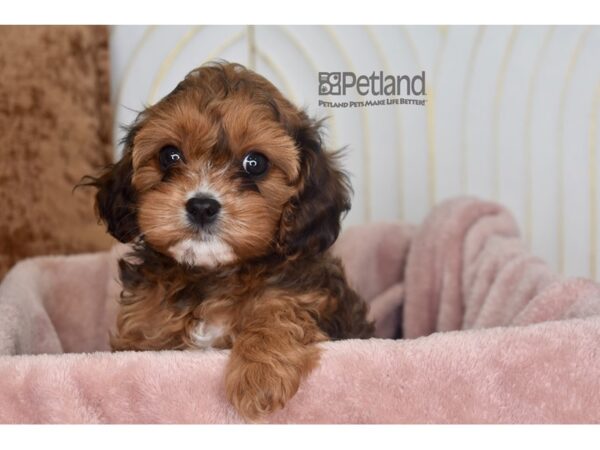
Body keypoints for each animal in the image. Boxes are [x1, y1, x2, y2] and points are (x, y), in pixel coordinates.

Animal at [86, 61, 372, 420]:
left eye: (255, 163)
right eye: (169, 155)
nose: (202, 206)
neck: (213, 275)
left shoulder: (306, 298)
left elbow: (278, 312)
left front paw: (259, 377)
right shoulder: (143, 329)